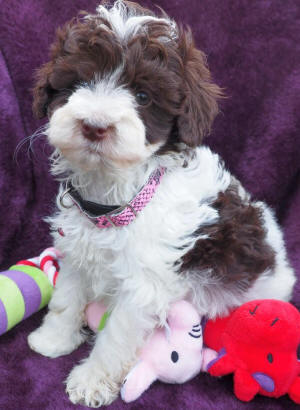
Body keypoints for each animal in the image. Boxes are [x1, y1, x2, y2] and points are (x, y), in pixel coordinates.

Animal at [27, 0, 296, 406]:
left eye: (142, 97)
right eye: (77, 83)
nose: (94, 126)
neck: (118, 200)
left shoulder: (144, 284)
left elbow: (115, 335)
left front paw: (91, 380)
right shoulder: (78, 250)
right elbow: (66, 297)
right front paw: (53, 339)